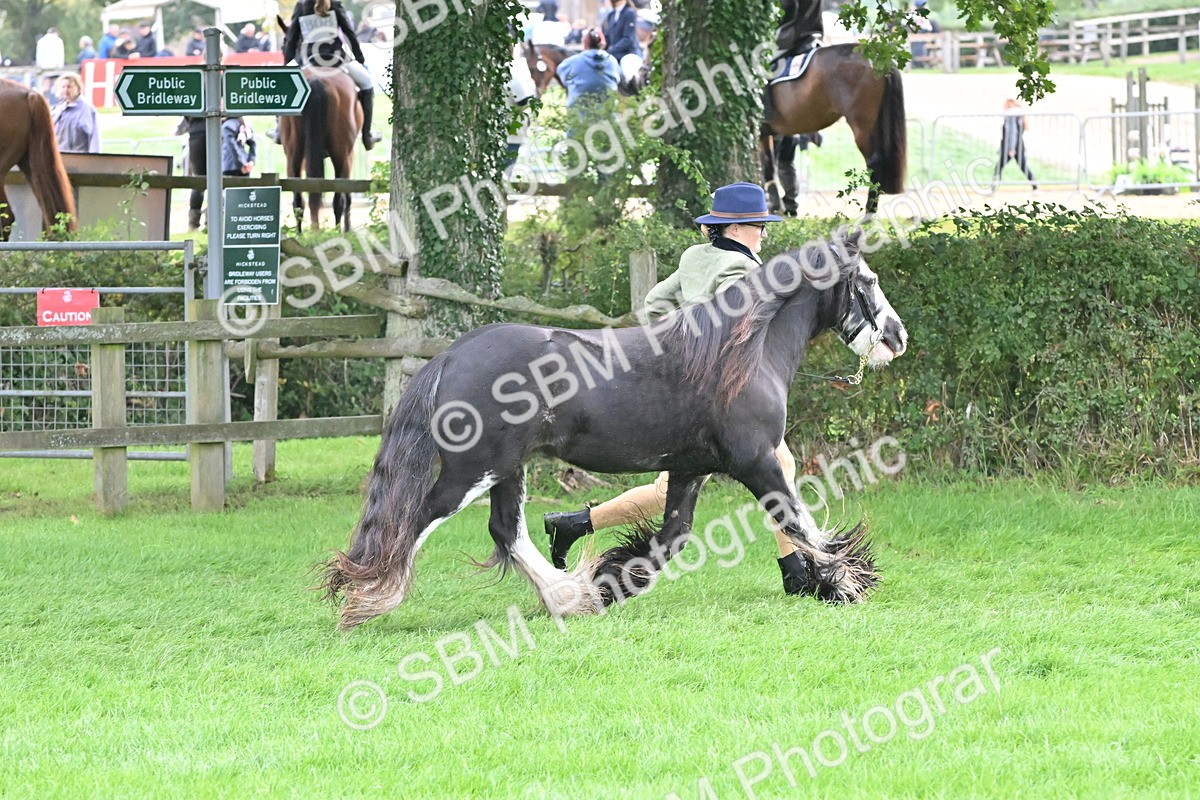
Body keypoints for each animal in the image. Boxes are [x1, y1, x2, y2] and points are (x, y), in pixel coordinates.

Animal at [279, 66, 361, 233]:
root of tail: (318, 80)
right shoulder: (349, 156)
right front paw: (348, 228)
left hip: (293, 154)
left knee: (298, 198)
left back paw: (302, 233)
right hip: (341, 155)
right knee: (339, 199)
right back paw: (337, 231)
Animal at [320, 229, 908, 630]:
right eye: (869, 281)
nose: (897, 337)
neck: (738, 352)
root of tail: (450, 356)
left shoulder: (691, 469)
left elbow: (670, 539)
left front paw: (610, 584)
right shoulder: (757, 460)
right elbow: (801, 522)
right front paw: (844, 581)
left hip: (508, 469)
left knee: (507, 531)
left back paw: (569, 597)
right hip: (472, 471)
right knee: (415, 521)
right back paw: (368, 600)